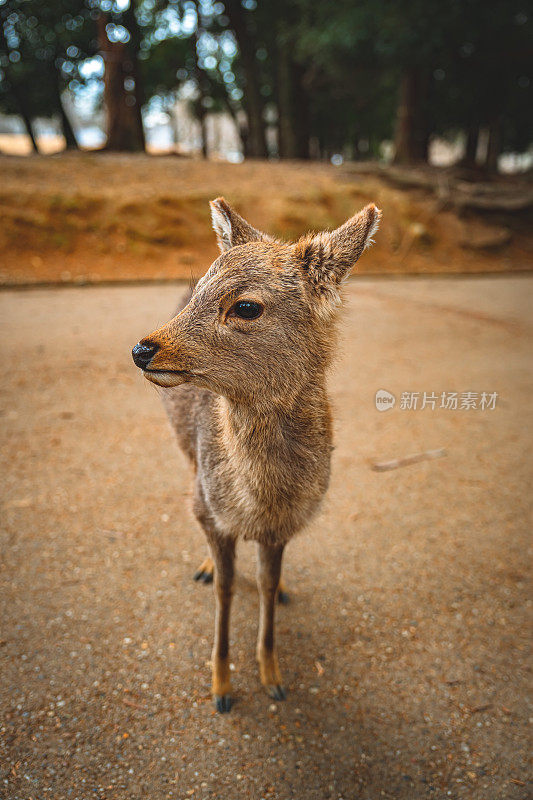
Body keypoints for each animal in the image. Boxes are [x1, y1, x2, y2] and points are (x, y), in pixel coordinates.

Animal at [132, 198, 378, 712]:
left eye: (246, 306)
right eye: (202, 290)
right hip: (187, 457)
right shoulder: (210, 509)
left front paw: (272, 675)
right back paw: (205, 567)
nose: (142, 349)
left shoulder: (286, 525)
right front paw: (221, 686)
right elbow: (227, 589)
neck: (258, 502)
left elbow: (264, 583)